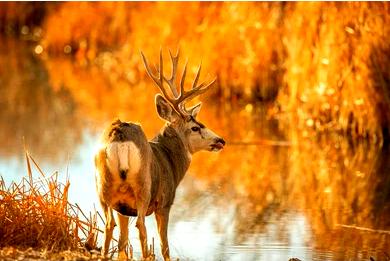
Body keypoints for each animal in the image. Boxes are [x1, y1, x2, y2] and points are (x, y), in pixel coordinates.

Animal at [94, 49, 225, 260]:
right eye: (195, 127)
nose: (221, 140)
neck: (169, 160)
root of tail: (120, 135)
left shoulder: (123, 207)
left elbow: (123, 240)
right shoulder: (165, 202)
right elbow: (165, 245)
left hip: (103, 186)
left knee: (109, 224)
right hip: (143, 187)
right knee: (141, 225)